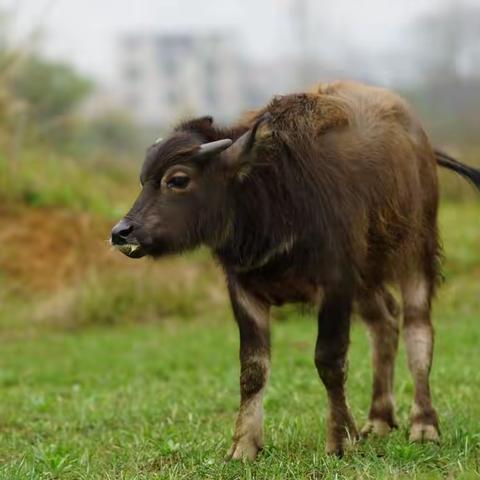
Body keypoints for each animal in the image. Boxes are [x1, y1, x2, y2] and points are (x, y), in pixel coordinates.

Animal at [109, 81, 480, 458]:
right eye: (143, 180)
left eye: (178, 180)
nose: (121, 232)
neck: (271, 202)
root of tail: (422, 145)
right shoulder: (244, 290)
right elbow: (252, 369)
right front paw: (244, 445)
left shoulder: (335, 285)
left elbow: (329, 360)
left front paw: (340, 438)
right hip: (365, 276)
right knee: (384, 323)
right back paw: (378, 420)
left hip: (416, 250)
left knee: (418, 329)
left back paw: (424, 425)